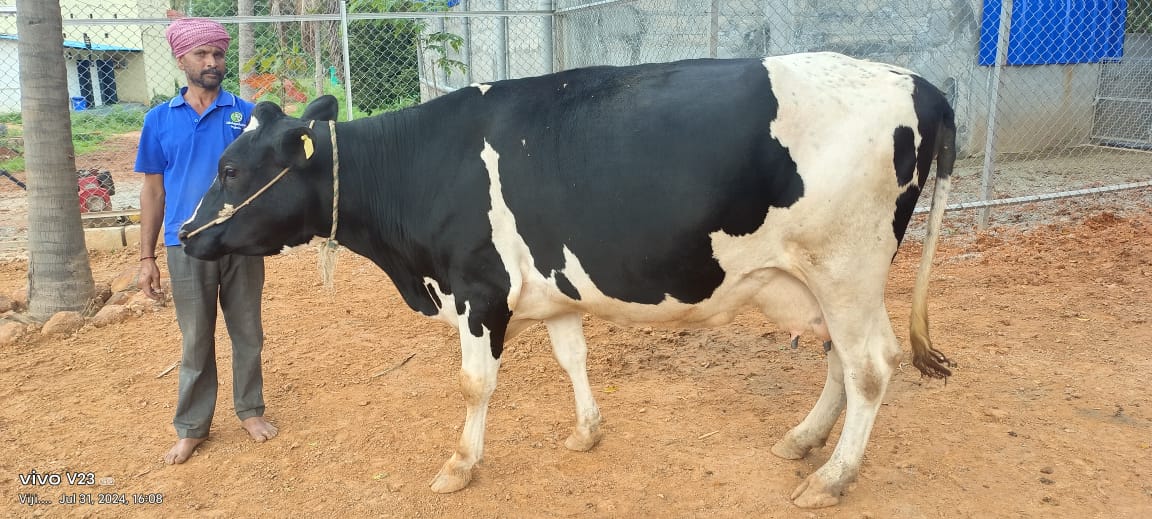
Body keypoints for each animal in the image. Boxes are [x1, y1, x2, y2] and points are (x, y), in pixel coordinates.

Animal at [180, 52, 955, 508]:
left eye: (231, 169)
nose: (186, 236)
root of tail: (915, 81)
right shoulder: (552, 289)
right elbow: (572, 356)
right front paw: (587, 432)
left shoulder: (477, 290)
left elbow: (474, 385)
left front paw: (460, 465)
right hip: (825, 278)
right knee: (839, 359)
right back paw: (802, 440)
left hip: (846, 265)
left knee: (870, 366)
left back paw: (832, 477)